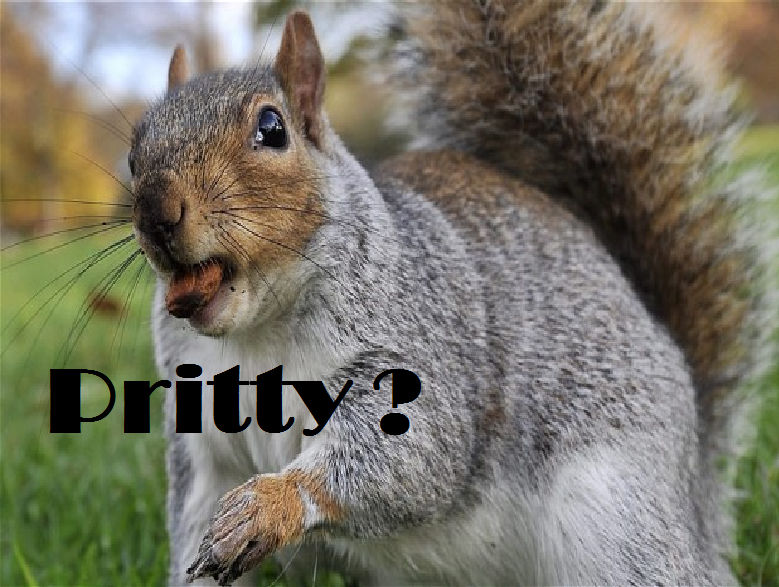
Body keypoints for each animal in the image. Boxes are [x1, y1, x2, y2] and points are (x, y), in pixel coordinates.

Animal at [127, 1, 771, 585]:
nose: (156, 209)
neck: (252, 332)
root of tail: (695, 497)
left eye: (271, 129)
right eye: (135, 149)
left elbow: (418, 456)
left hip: (614, 512)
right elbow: (195, 520)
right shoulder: (202, 443)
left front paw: (268, 506)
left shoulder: (410, 348)